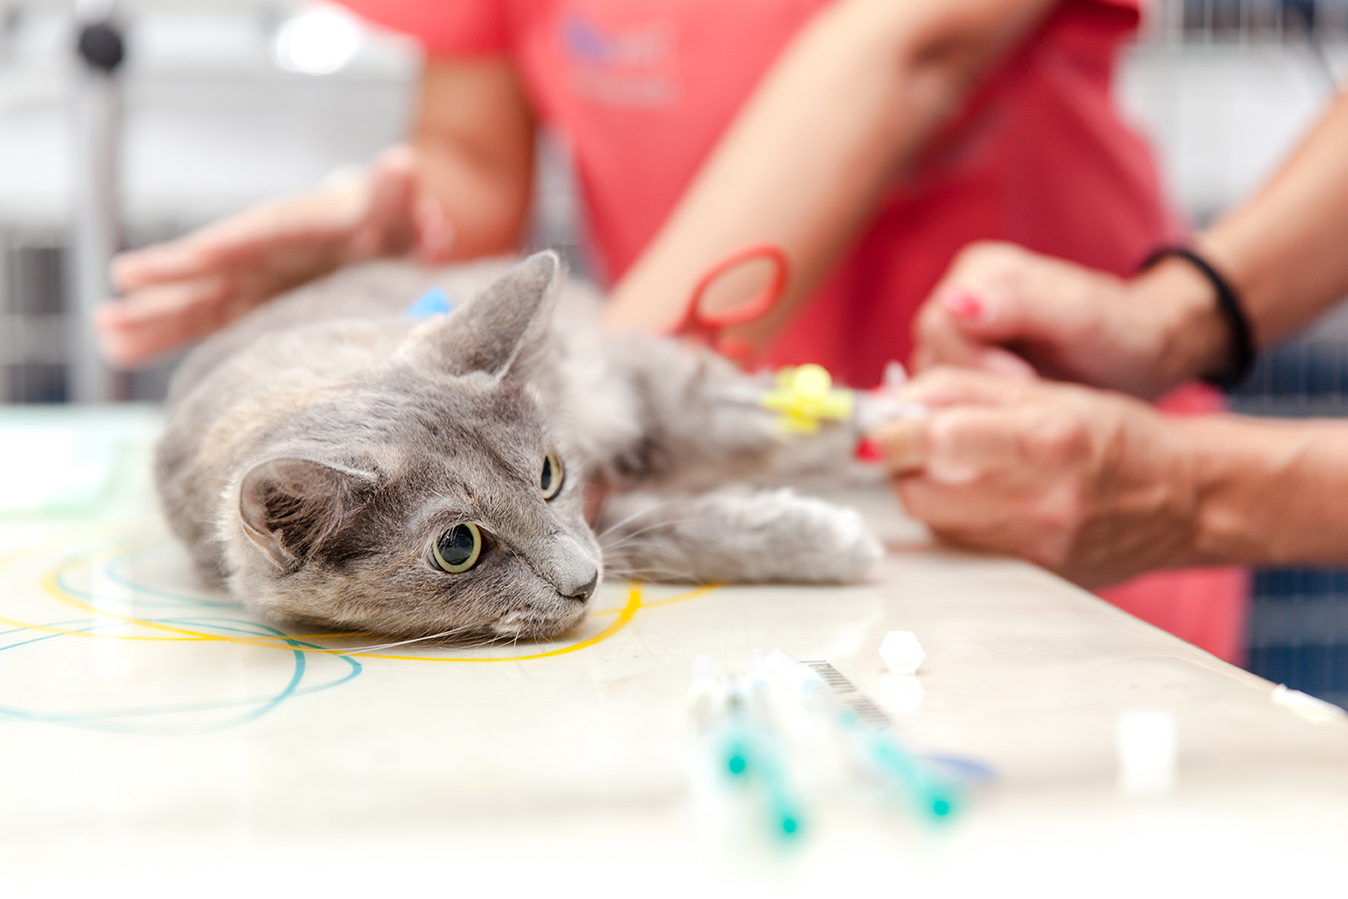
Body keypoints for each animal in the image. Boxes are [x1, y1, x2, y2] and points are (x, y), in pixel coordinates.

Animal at [155, 249, 884, 644]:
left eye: (549, 472)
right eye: (457, 547)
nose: (585, 583)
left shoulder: (625, 378)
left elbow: (740, 417)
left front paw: (878, 427)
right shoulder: (614, 515)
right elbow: (664, 529)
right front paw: (830, 539)